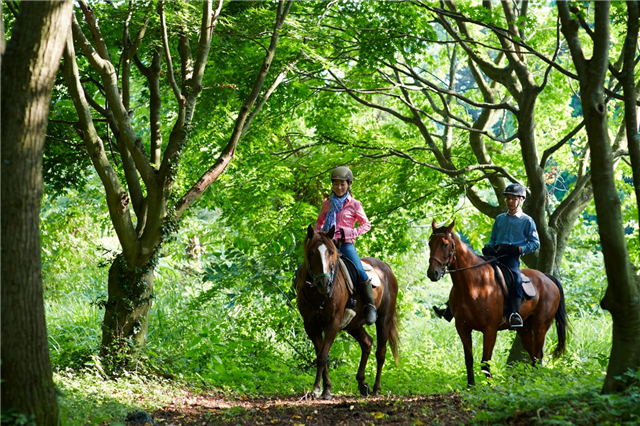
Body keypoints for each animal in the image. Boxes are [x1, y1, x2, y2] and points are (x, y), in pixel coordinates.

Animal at [296, 226, 400, 400]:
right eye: (311, 252)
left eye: (331, 252)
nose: (324, 284)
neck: (319, 295)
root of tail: (386, 268)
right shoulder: (311, 326)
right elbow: (320, 354)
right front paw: (325, 388)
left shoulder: (333, 322)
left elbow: (323, 356)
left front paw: (318, 389)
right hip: (353, 325)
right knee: (367, 343)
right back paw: (362, 383)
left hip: (384, 319)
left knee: (381, 352)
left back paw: (376, 389)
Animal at [428, 220, 568, 386]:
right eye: (430, 243)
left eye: (445, 244)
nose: (432, 273)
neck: (474, 285)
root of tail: (547, 278)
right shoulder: (463, 327)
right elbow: (469, 359)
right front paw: (471, 386)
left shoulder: (490, 330)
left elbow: (485, 362)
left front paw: (490, 386)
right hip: (525, 329)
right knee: (533, 355)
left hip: (540, 326)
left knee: (538, 356)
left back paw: (536, 382)